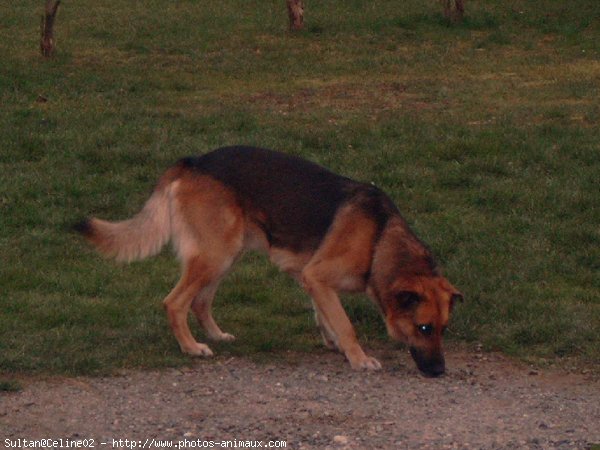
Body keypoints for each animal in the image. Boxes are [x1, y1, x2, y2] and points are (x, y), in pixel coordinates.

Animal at [75, 147, 462, 376]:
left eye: (443, 329)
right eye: (424, 328)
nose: (441, 371)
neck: (379, 239)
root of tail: (192, 161)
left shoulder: (309, 277)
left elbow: (325, 316)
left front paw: (333, 343)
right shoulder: (317, 276)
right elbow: (345, 323)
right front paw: (357, 357)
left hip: (226, 256)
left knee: (200, 301)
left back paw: (216, 335)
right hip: (215, 255)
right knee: (175, 302)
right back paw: (191, 348)